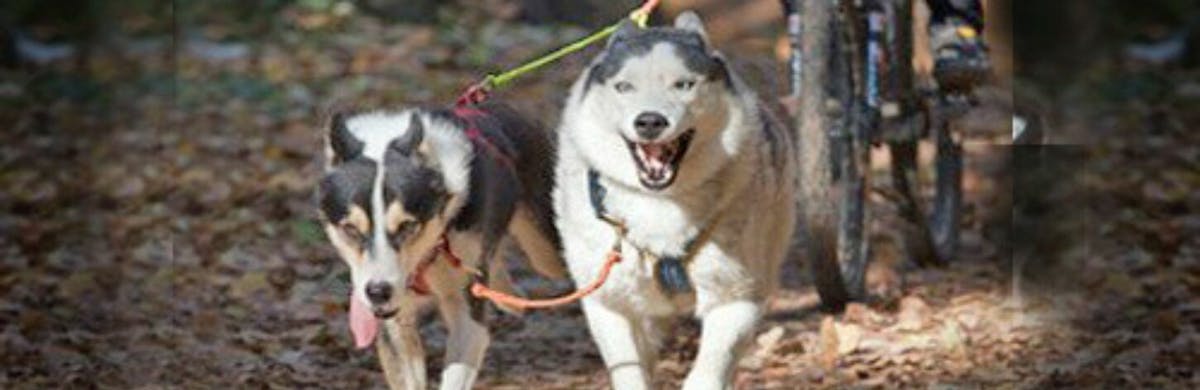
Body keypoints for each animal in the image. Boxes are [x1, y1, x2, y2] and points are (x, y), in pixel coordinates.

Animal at [316, 102, 564, 386]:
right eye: (350, 229)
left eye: (407, 226)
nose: (378, 292)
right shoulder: (395, 323)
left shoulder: (468, 320)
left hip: (547, 251)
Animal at [552, 12, 796, 388]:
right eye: (624, 87)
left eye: (683, 85)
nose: (650, 121)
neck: (661, 205)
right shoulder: (609, 302)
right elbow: (629, 372)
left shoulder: (737, 296)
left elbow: (708, 371)